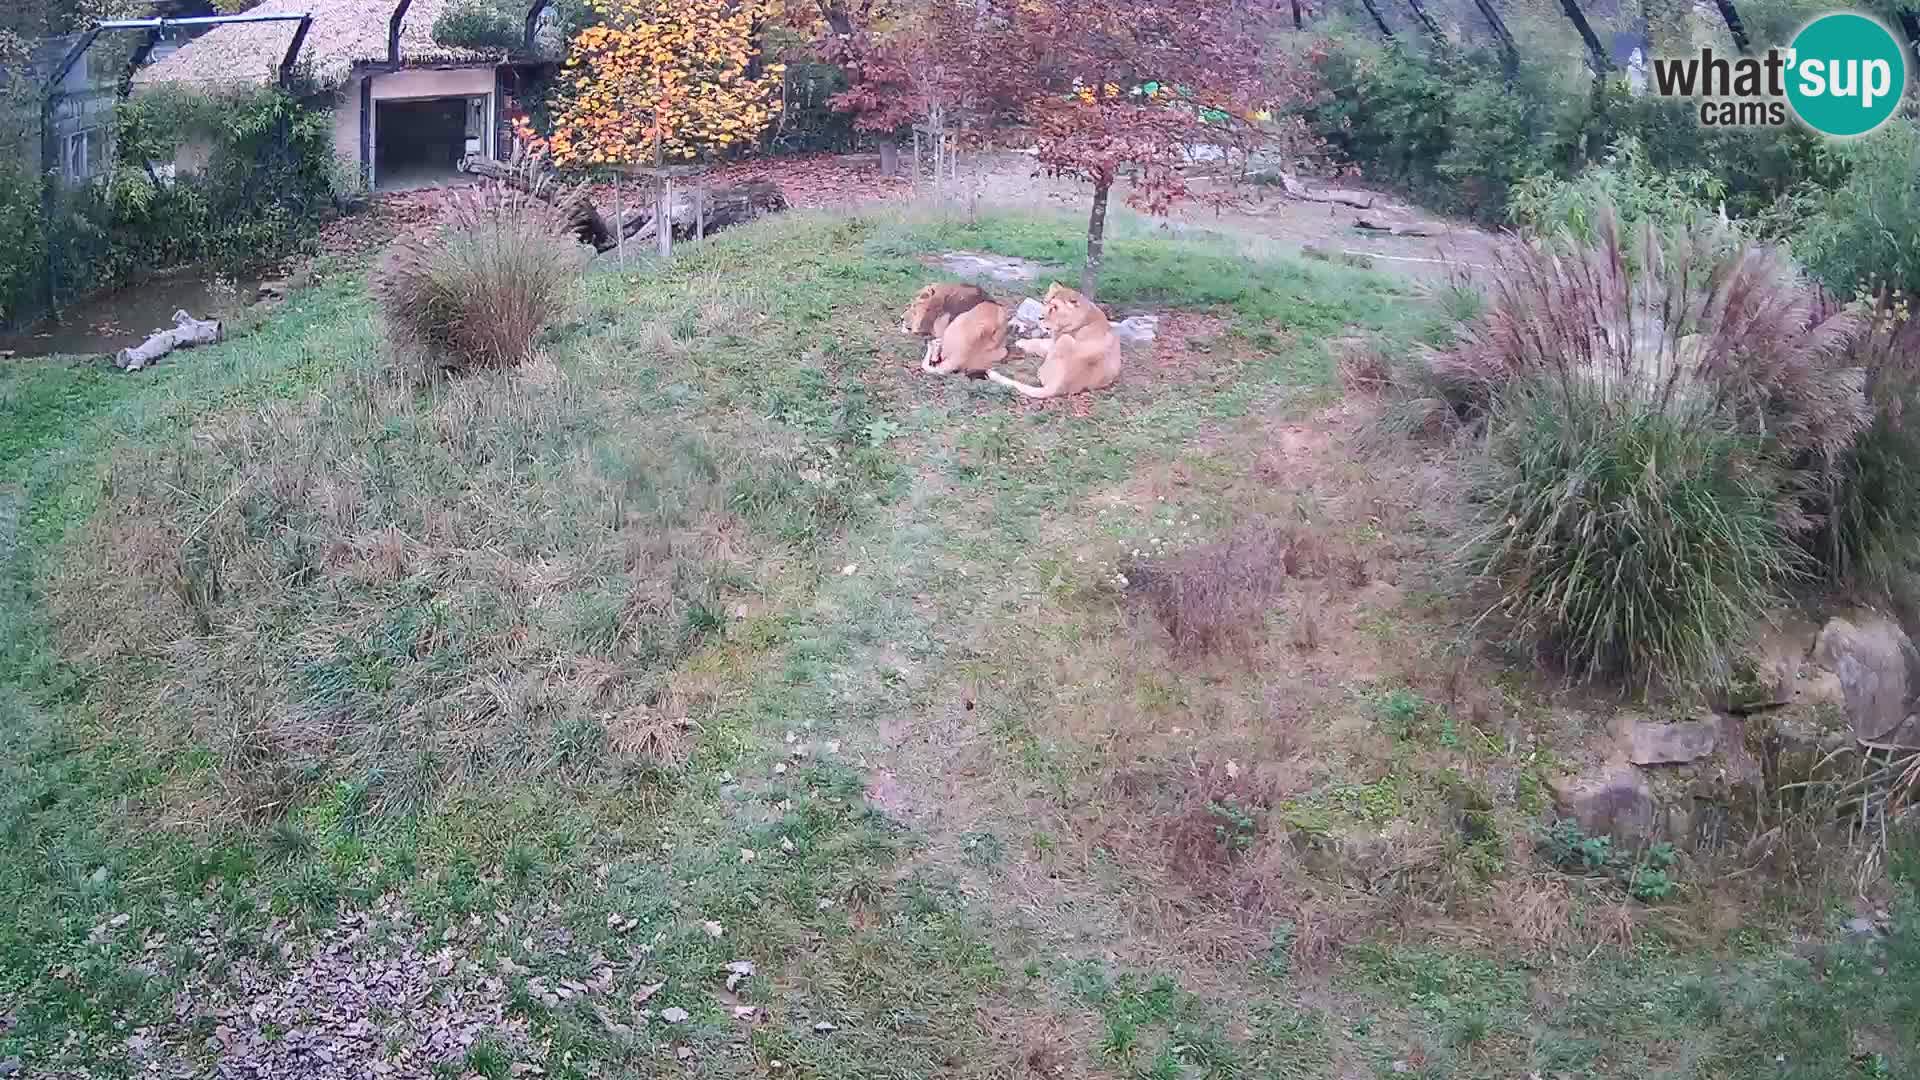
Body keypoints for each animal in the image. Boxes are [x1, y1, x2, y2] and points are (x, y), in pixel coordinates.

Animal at [986, 283, 1122, 399]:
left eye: (1055, 308)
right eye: (1045, 302)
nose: (1039, 317)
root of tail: (1059, 386)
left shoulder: (1055, 340)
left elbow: (1040, 342)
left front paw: (1021, 342)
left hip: (1064, 340)